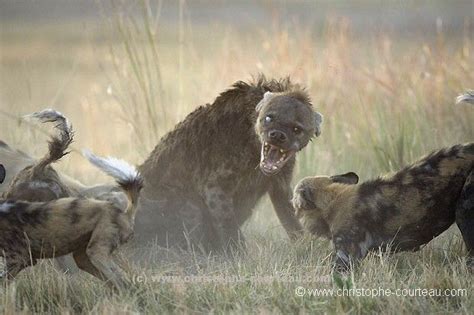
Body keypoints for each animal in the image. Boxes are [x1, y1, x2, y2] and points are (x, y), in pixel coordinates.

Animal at [135, 76, 324, 252]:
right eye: (269, 118)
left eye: (297, 129)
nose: (277, 135)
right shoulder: (215, 186)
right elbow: (229, 225)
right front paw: (239, 257)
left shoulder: (281, 183)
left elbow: (292, 218)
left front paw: (307, 247)